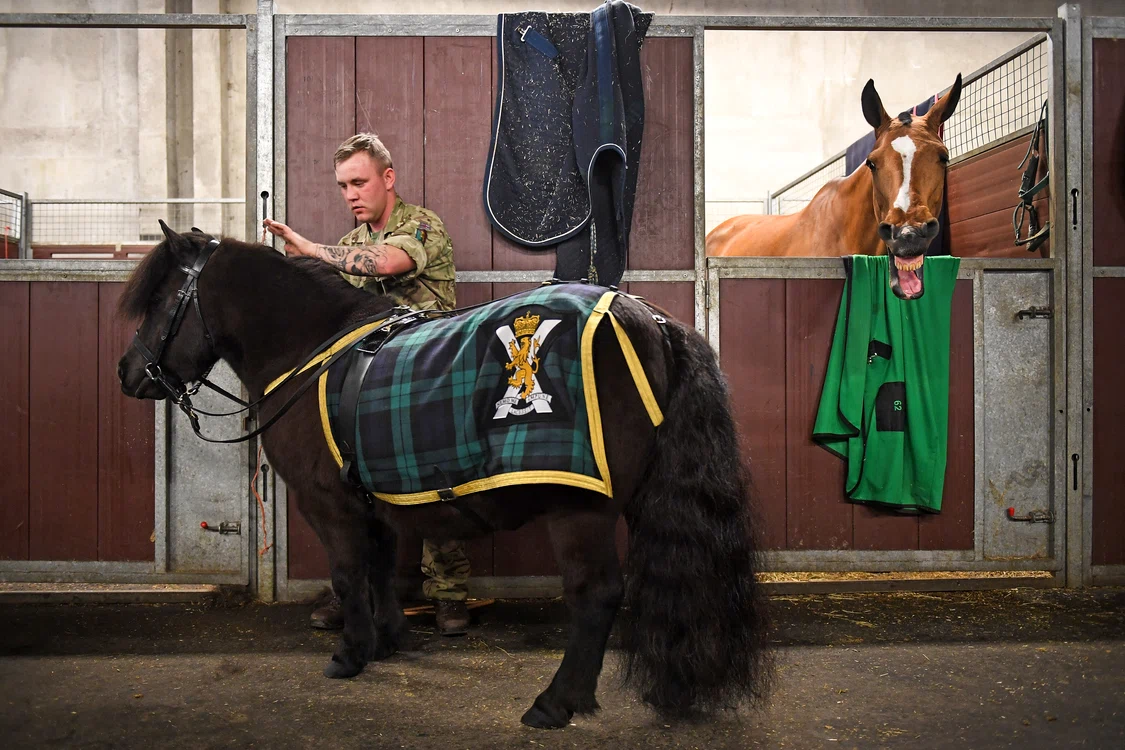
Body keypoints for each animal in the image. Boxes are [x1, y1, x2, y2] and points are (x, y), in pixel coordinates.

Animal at [115, 222, 772, 729]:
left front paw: (348, 655)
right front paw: (386, 640)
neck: (310, 351)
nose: (128, 373)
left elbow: (349, 573)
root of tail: (651, 320)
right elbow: (380, 571)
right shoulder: (373, 500)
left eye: (160, 303)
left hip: (578, 507)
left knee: (596, 594)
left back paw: (555, 703)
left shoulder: (328, 504)